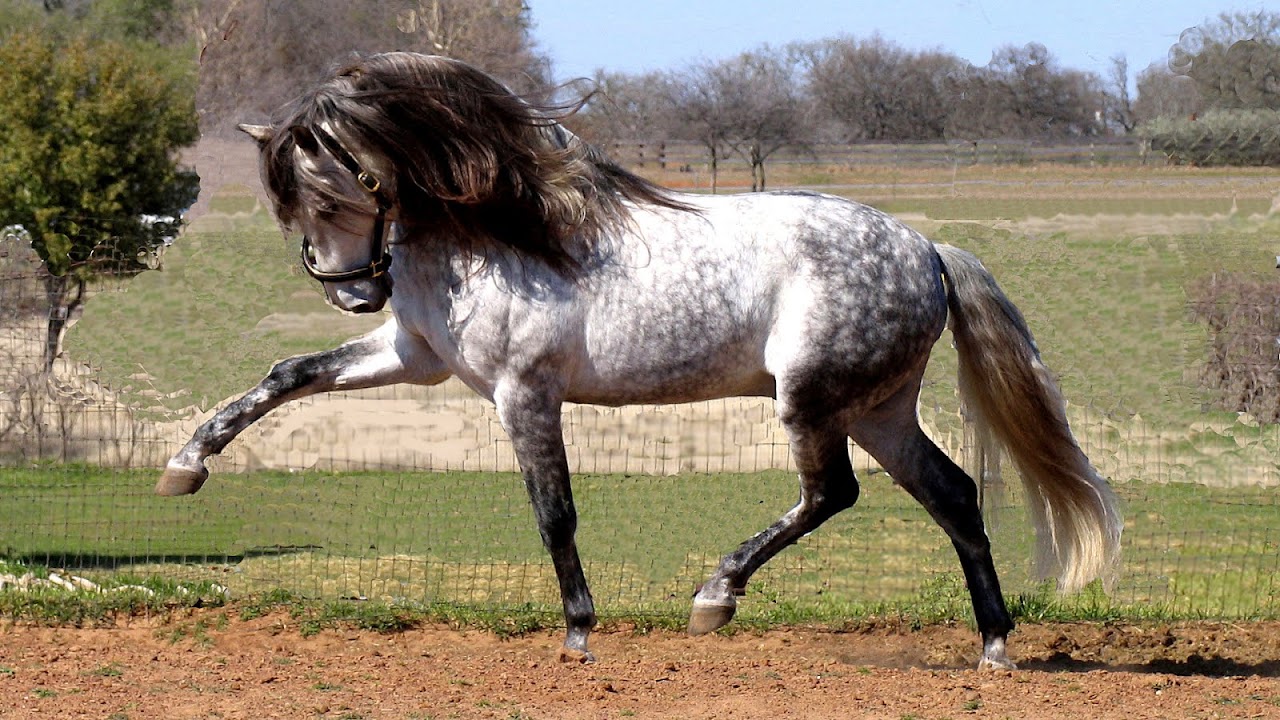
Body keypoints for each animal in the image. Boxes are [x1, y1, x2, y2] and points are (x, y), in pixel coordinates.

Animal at [156, 52, 1121, 669]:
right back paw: (993, 645)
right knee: (951, 493)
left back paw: (715, 598)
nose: (354, 293)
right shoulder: (413, 355)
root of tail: (926, 249)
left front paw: (579, 633)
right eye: (292, 205)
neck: (496, 232)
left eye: (332, 191)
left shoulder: (522, 393)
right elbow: (288, 375)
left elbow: (554, 513)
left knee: (832, 493)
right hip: (877, 408)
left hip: (812, 401)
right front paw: (185, 466)